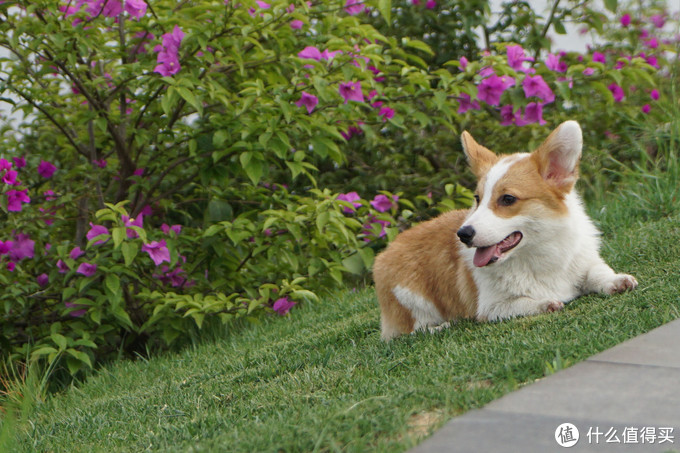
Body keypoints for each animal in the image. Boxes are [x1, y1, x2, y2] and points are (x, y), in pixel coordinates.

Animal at [374, 120, 640, 340]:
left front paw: (616, 280)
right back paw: (439, 327)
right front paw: (544, 302)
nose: (463, 234)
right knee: (411, 330)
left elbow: (597, 273)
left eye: (508, 199)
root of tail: (388, 249)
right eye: (477, 198)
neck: (538, 255)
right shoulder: (491, 308)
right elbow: (521, 303)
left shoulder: (585, 263)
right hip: (409, 297)